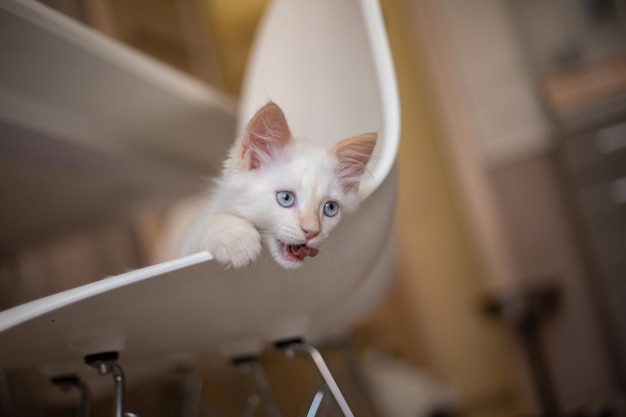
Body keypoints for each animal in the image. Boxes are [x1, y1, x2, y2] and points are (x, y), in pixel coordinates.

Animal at [180, 102, 376, 268]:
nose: (312, 231)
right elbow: (205, 223)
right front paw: (235, 237)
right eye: (286, 198)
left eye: (330, 208)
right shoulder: (186, 247)